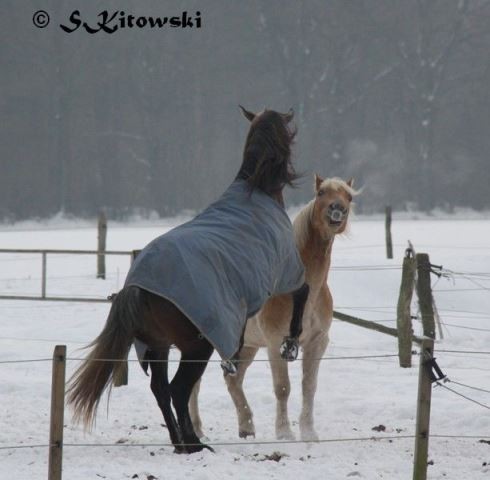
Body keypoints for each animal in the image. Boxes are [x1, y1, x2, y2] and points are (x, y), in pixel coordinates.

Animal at [66, 108, 310, 454]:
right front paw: (290, 344)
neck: (256, 192)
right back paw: (193, 444)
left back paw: (180, 442)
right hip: (196, 347)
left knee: (160, 389)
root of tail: (135, 289)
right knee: (178, 389)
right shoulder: (282, 275)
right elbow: (303, 292)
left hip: (158, 345)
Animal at [189, 174, 358, 440]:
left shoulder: (316, 342)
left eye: (348, 197)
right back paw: (197, 430)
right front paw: (285, 433)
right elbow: (282, 388)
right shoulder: (275, 343)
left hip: (246, 346)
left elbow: (309, 387)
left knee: (233, 381)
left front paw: (308, 433)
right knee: (193, 384)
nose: (337, 210)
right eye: (321, 192)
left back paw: (246, 427)